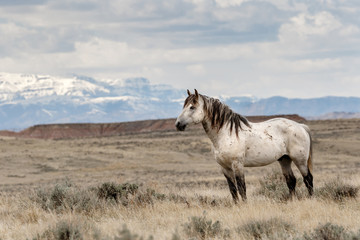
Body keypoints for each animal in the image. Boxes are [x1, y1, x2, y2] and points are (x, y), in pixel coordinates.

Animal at [174, 89, 312, 202]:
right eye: (184, 106)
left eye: (192, 107)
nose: (178, 124)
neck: (226, 134)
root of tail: (301, 126)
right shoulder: (225, 167)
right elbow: (233, 189)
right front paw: (236, 206)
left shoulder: (237, 165)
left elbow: (241, 188)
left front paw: (244, 206)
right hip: (284, 160)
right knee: (291, 181)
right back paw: (292, 201)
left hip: (300, 160)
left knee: (308, 179)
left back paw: (311, 199)